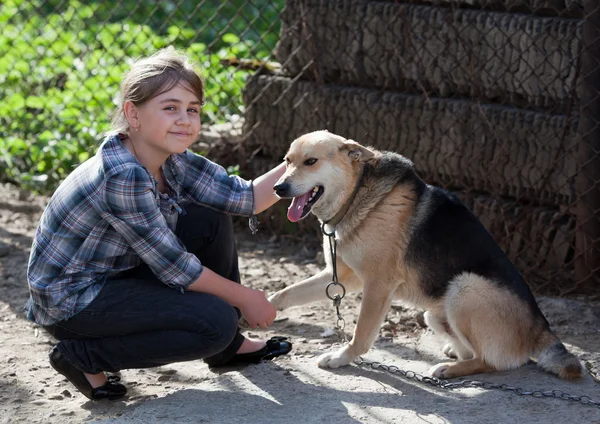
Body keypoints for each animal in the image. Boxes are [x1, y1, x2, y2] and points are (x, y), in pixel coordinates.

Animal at [270, 131, 584, 380]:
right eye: (287, 161)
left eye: (311, 162)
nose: (277, 188)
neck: (356, 194)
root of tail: (540, 329)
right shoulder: (342, 277)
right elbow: (284, 294)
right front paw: (262, 312)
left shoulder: (377, 286)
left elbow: (361, 335)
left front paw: (339, 358)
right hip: (435, 313)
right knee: (474, 350)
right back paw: (454, 352)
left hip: (465, 287)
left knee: (494, 362)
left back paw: (449, 369)